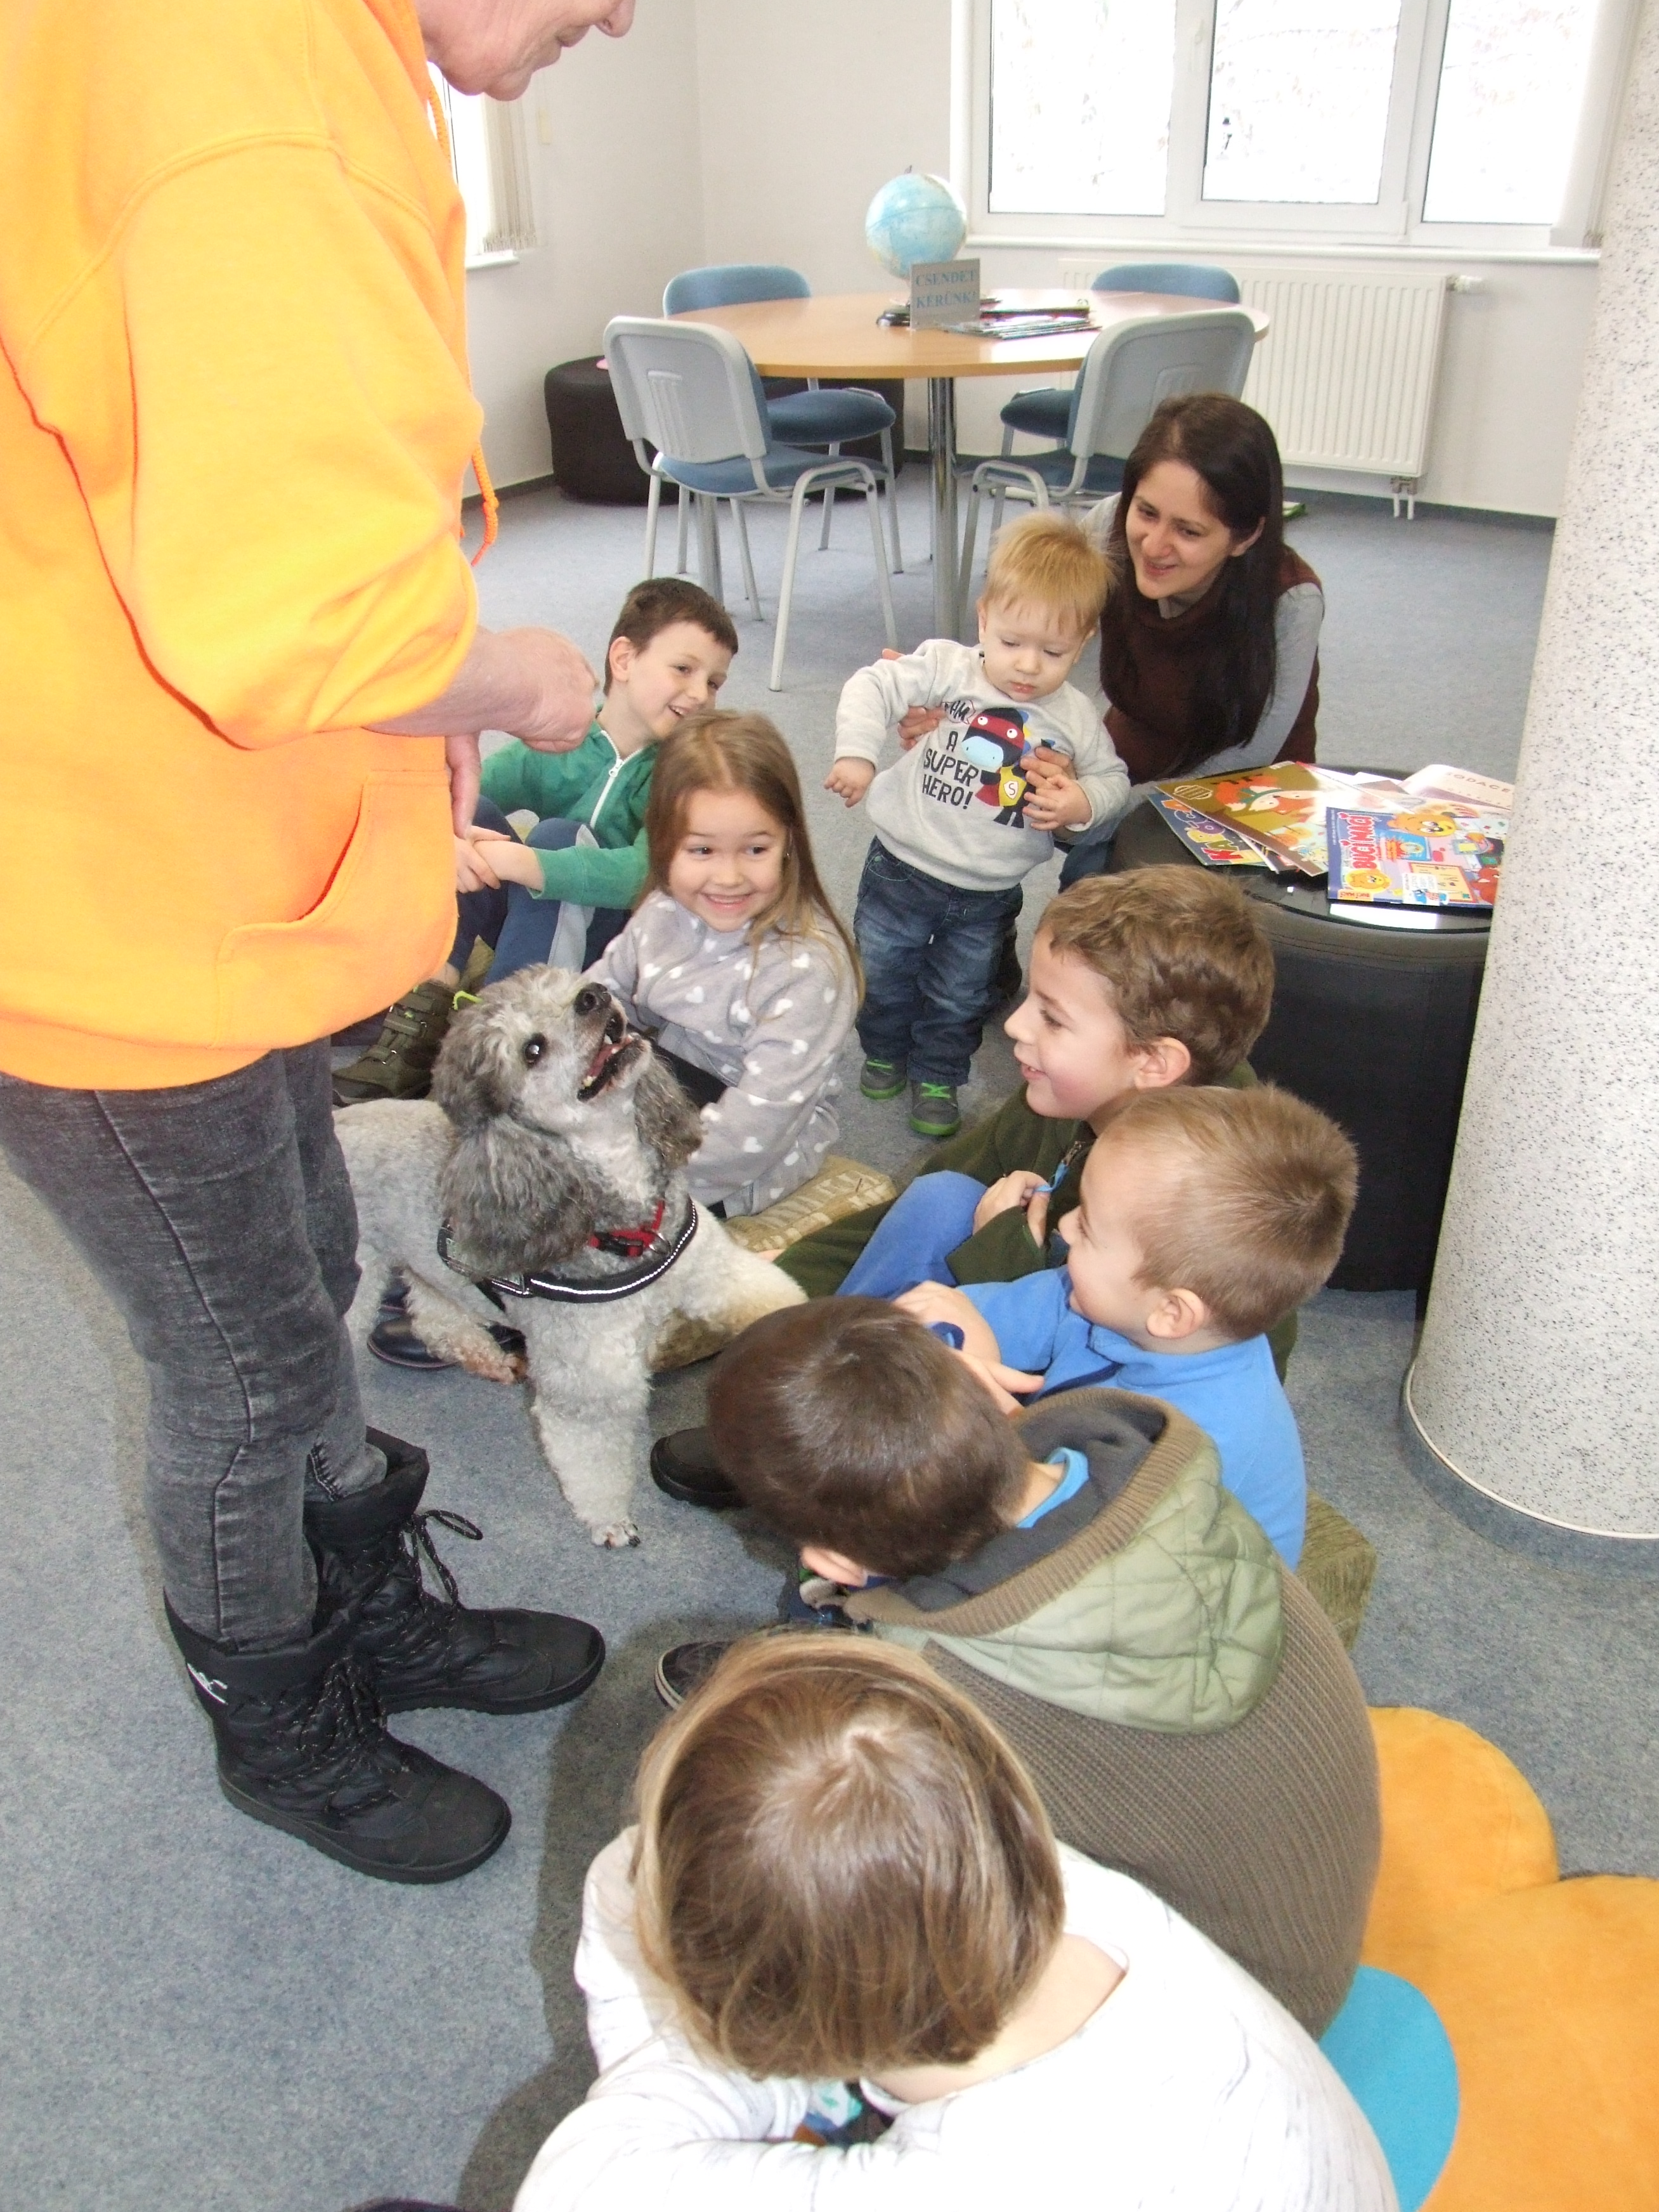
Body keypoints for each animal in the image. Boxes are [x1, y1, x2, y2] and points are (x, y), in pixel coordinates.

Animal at [336, 968, 805, 1547]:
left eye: (568, 983)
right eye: (532, 1050)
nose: (594, 997)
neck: (628, 1223)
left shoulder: (716, 1273)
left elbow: (769, 1299)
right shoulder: (591, 1383)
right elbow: (593, 1457)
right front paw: (609, 1521)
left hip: (433, 1261)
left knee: (435, 1315)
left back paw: (485, 1357)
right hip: (360, 1278)